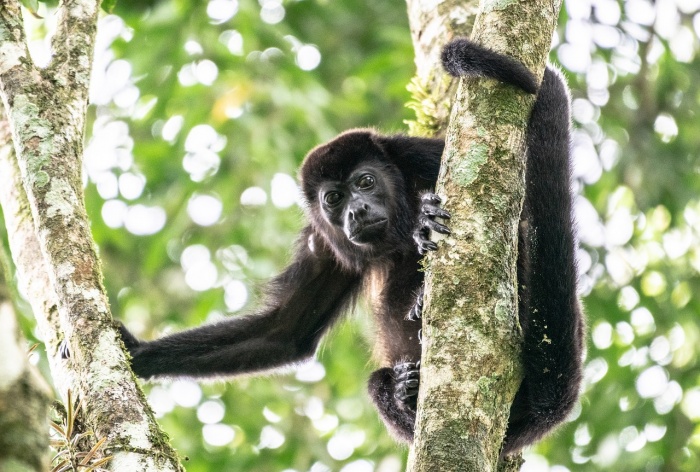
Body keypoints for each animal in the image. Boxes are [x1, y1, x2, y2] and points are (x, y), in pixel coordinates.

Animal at [117, 38, 584, 456]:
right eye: (334, 199)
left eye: (365, 181)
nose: (356, 211)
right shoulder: (325, 242)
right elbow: (285, 331)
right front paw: (137, 353)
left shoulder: (420, 155)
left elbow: (516, 216)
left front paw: (425, 226)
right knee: (376, 383)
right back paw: (404, 388)